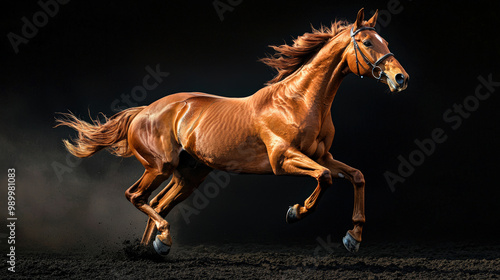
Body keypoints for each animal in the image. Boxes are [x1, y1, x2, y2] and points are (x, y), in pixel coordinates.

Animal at [57, 7, 410, 255]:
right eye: (366, 42)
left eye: (387, 42)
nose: (400, 79)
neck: (299, 101)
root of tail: (143, 112)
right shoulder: (283, 159)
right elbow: (324, 178)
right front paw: (295, 212)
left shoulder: (322, 155)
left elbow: (356, 176)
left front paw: (353, 238)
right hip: (159, 167)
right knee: (136, 197)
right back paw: (161, 241)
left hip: (190, 175)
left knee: (157, 204)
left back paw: (151, 249)